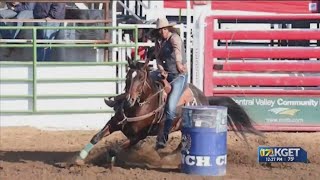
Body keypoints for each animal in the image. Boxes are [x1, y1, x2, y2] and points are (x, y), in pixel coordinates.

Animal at [75, 58, 262, 166]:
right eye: (128, 76)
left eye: (141, 77)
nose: (128, 100)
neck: (138, 107)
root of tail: (204, 98)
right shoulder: (115, 123)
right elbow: (96, 137)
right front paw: (79, 158)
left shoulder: (139, 136)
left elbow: (114, 149)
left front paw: (112, 159)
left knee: (179, 146)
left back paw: (166, 158)